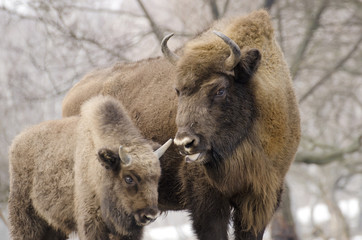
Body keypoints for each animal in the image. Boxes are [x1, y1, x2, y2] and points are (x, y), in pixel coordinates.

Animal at [8, 96, 173, 240]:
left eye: (157, 178)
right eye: (128, 178)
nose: (150, 215)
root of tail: (16, 142)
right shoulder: (91, 224)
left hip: (54, 227)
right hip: (26, 221)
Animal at [62, 9, 300, 240]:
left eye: (220, 90)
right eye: (178, 90)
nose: (185, 142)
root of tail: (70, 98)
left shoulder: (261, 201)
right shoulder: (208, 202)